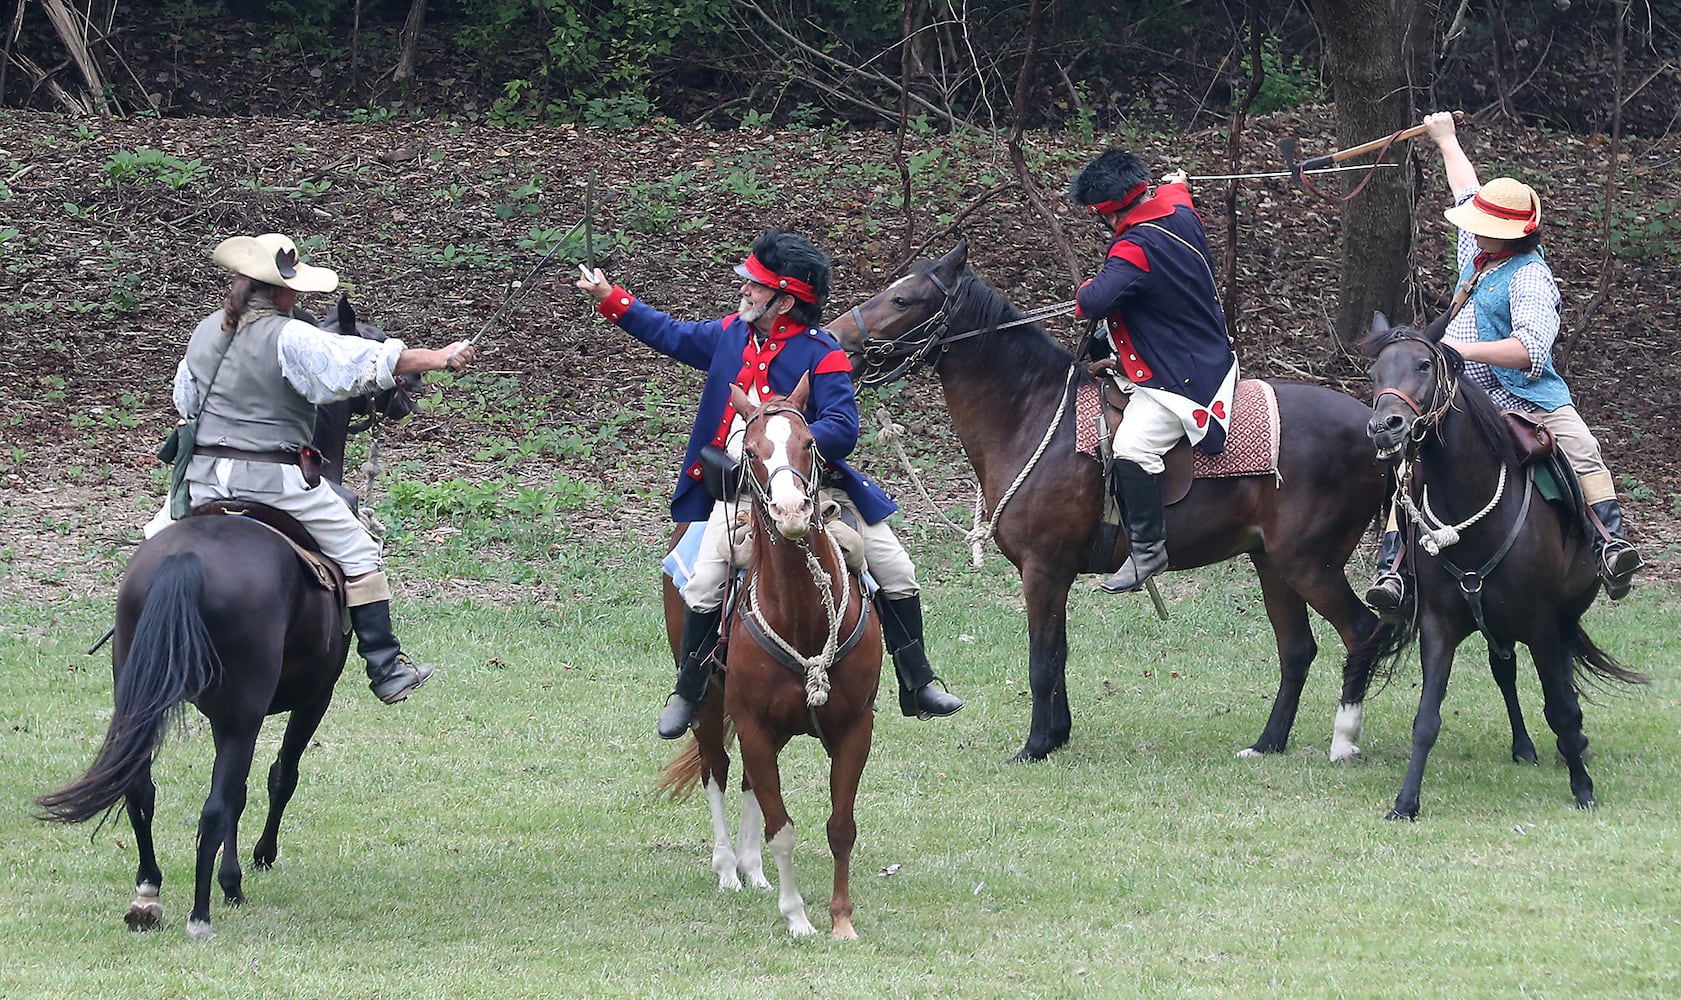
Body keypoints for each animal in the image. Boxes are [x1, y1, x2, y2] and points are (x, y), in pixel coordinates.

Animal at [37, 297, 418, 941]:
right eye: (371, 338)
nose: (409, 387)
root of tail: (186, 560)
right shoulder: (309, 695)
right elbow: (278, 776)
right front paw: (252, 867)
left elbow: (236, 792)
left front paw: (231, 878)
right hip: (244, 712)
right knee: (214, 803)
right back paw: (198, 915)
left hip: (143, 699)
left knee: (142, 789)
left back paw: (149, 894)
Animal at [662, 378, 887, 941]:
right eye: (751, 451)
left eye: (809, 443)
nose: (791, 513)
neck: (803, 616)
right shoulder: (753, 722)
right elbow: (781, 828)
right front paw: (798, 917)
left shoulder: (854, 727)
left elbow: (840, 826)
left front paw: (841, 918)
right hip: (709, 704)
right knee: (717, 770)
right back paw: (727, 868)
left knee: (745, 782)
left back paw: (752, 868)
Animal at [827, 247, 1391, 763]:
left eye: (902, 299)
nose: (835, 339)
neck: (1031, 414)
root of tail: (1374, 431)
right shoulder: (1054, 575)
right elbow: (1058, 655)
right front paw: (1055, 736)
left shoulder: (1043, 569)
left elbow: (1042, 660)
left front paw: (1034, 746)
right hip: (1272, 563)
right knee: (1297, 650)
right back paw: (1268, 743)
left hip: (1308, 565)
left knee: (1363, 633)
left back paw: (1344, 742)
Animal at [1364, 317, 1640, 816]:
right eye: (1375, 372)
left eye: (1423, 364)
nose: (1385, 427)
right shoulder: (1439, 624)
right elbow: (1426, 718)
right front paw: (1406, 802)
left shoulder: (1542, 622)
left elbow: (1561, 707)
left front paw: (1583, 789)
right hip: (1498, 623)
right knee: (1505, 671)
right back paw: (1524, 747)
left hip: (1564, 614)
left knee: (1561, 684)